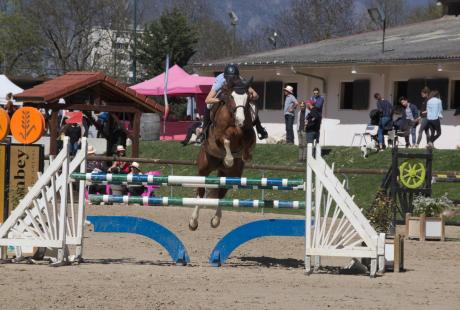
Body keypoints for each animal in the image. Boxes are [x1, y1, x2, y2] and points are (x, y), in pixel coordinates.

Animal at [189, 78, 256, 231]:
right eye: (231, 97)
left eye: (247, 98)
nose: (240, 120)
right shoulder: (218, 135)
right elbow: (225, 140)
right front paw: (229, 159)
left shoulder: (248, 132)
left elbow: (248, 141)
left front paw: (245, 156)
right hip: (204, 168)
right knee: (200, 191)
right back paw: (193, 221)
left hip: (227, 174)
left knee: (221, 192)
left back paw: (215, 220)